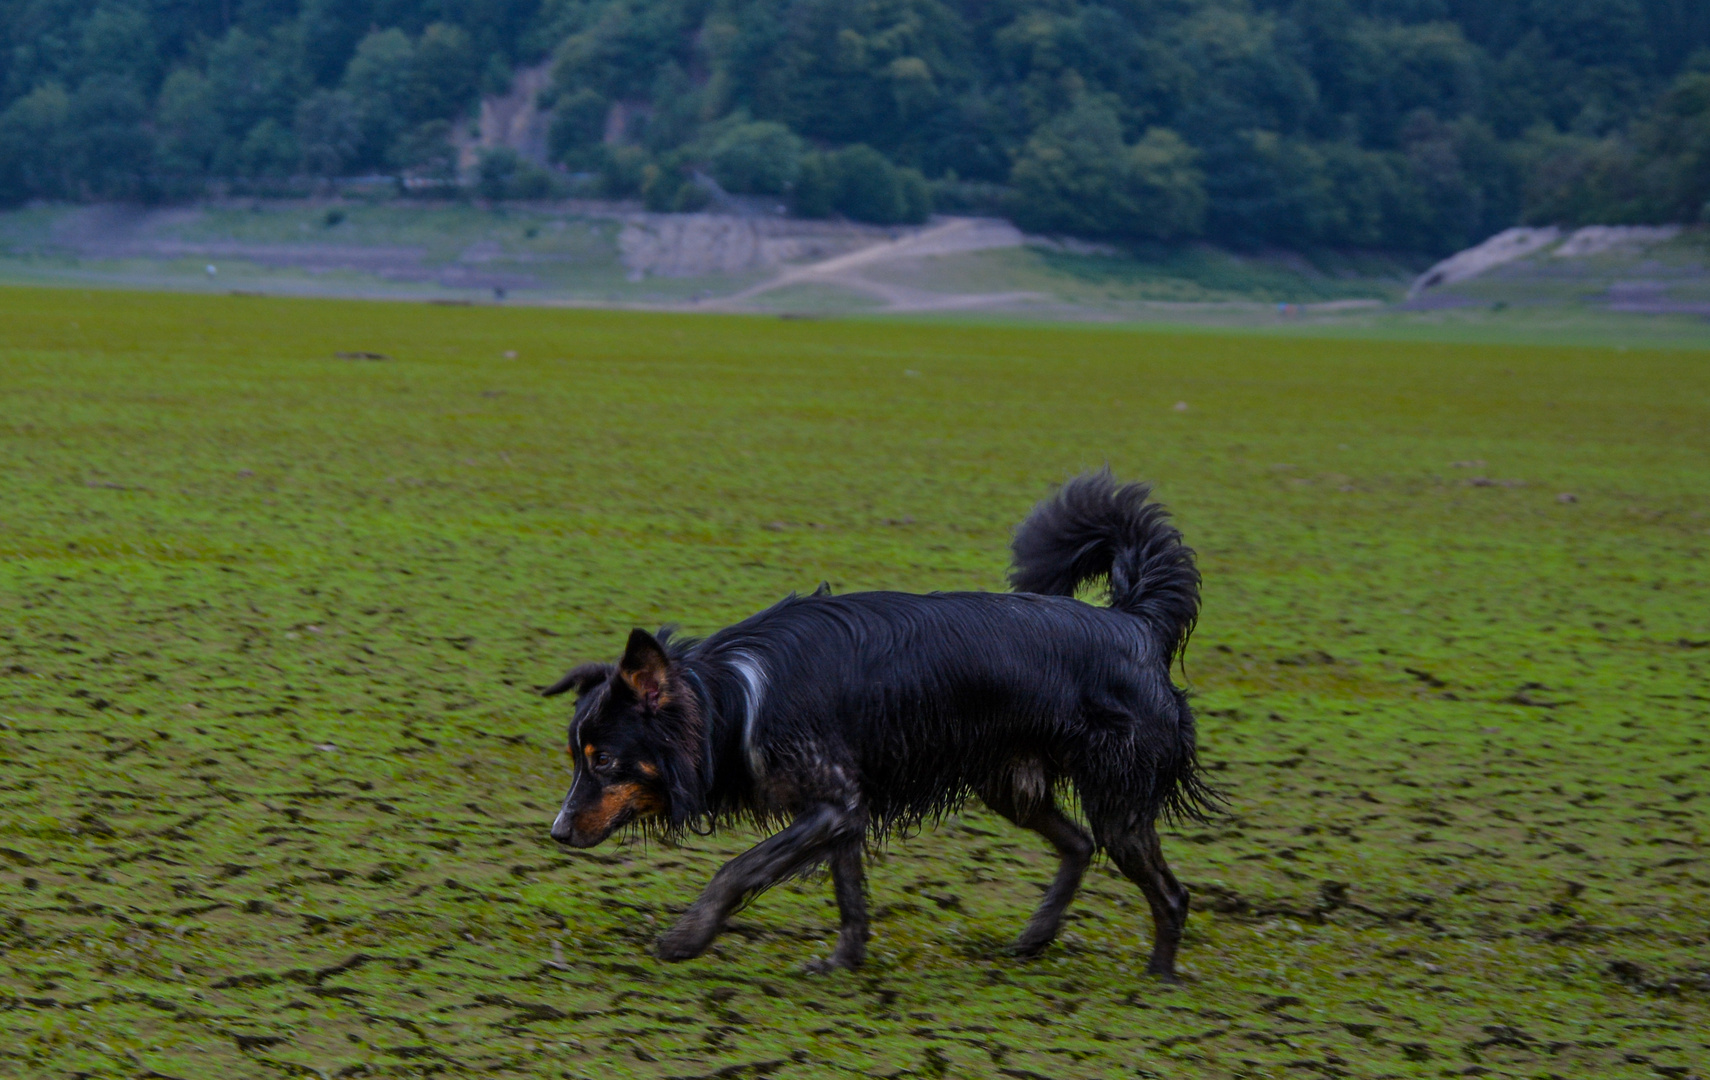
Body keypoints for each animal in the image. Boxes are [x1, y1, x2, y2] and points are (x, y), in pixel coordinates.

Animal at [540, 468, 1210, 977]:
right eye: (577, 760)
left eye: (604, 760)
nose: (558, 833)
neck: (735, 700)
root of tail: (1135, 622)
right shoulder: (841, 806)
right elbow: (850, 893)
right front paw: (845, 961)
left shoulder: (831, 805)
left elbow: (737, 869)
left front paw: (686, 938)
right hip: (1010, 783)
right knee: (1078, 844)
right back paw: (1036, 936)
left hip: (1119, 800)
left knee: (1170, 893)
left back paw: (1158, 978)